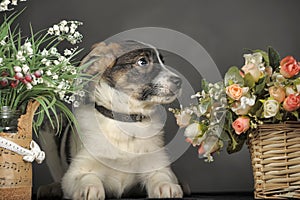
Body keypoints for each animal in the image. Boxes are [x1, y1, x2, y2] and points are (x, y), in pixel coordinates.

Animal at [39, 39, 183, 199]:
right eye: (143, 61)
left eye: (162, 61)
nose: (179, 81)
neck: (124, 122)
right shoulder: (76, 171)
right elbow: (86, 177)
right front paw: (89, 187)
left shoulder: (156, 164)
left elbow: (161, 176)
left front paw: (167, 186)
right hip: (49, 130)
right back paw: (51, 188)